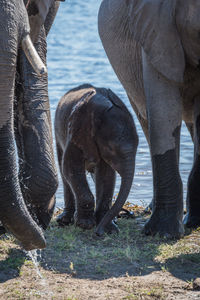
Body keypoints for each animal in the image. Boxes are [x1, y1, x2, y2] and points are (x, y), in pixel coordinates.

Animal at [55, 84, 138, 237]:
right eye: (111, 149)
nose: (98, 234)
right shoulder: (76, 131)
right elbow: (70, 168)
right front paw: (85, 224)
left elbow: (105, 175)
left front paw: (109, 228)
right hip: (58, 135)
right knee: (64, 173)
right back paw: (64, 220)